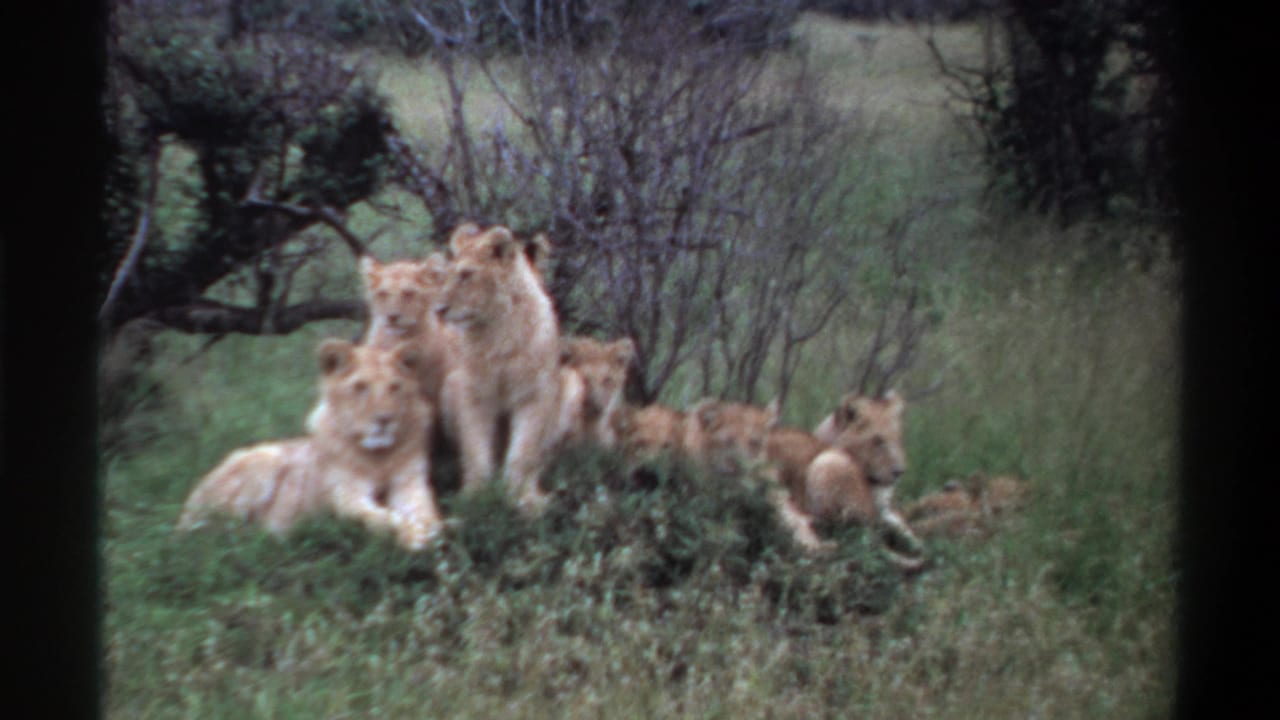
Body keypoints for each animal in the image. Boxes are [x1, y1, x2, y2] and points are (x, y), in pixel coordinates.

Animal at [177, 340, 444, 550]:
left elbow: (425, 512)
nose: (385, 420)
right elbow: (381, 517)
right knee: (209, 533)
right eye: (360, 387)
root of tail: (189, 504)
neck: (379, 457)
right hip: (264, 459)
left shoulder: (410, 484)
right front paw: (414, 534)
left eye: (395, 387)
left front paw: (433, 528)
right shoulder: (346, 495)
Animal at [434, 223, 563, 512]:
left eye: (467, 274)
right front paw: (476, 497)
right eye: (448, 273)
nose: (439, 309)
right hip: (449, 388)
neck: (496, 331)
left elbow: (523, 451)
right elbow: (476, 449)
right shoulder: (473, 393)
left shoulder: (534, 394)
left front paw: (524, 498)